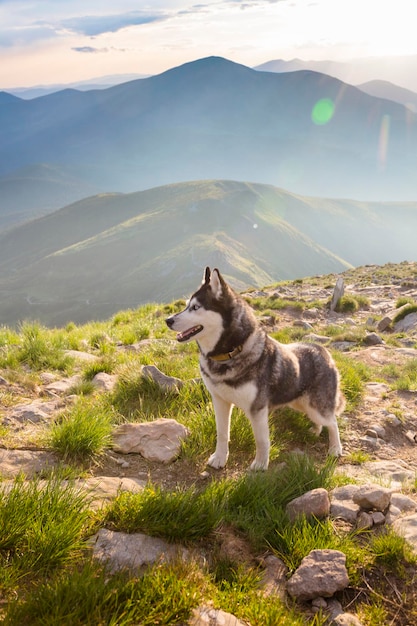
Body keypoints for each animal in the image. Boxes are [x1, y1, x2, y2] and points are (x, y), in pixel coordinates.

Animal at [164, 264, 342, 468]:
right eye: (186, 305)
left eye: (195, 307)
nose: (168, 320)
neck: (228, 354)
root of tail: (323, 350)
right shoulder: (219, 401)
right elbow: (222, 433)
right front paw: (219, 458)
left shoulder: (257, 409)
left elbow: (261, 440)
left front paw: (261, 465)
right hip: (300, 403)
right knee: (323, 420)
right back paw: (316, 430)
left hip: (316, 406)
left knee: (333, 422)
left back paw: (335, 448)